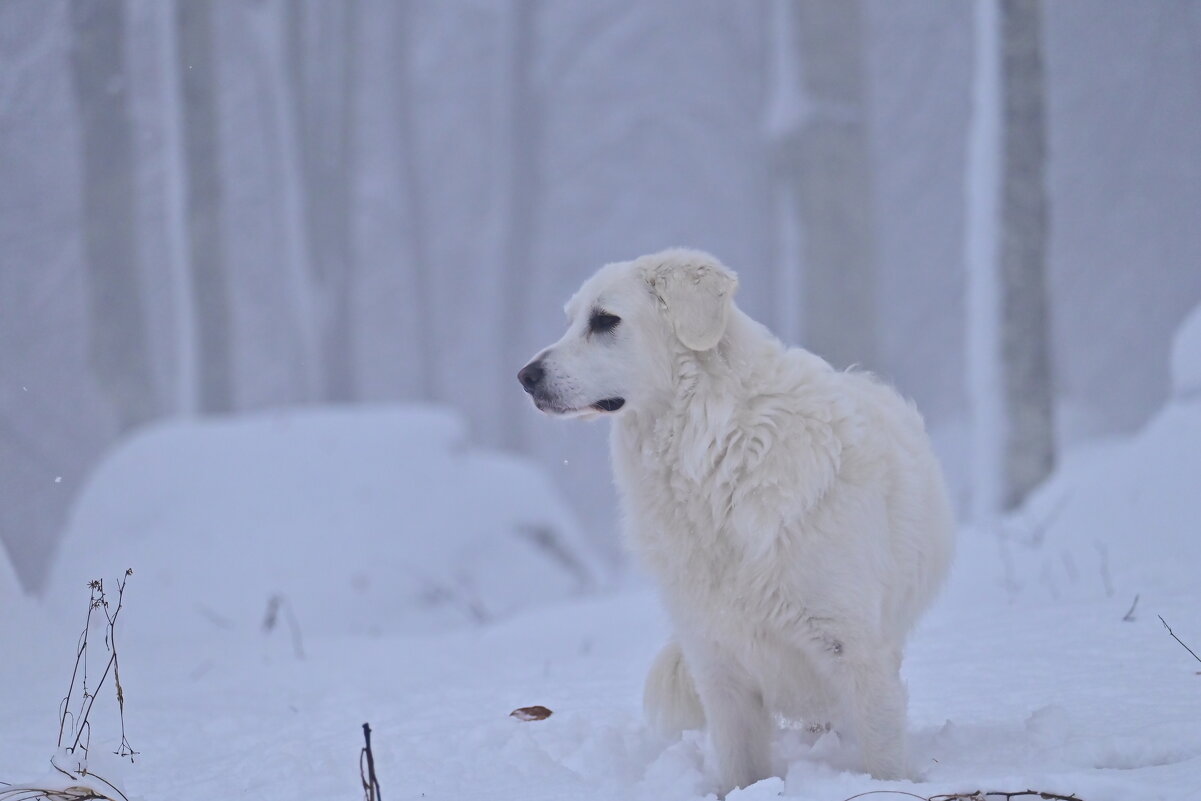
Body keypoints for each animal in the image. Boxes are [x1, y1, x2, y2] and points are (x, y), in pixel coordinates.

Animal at [518, 250, 955, 797]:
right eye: (571, 319)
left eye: (605, 320)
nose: (525, 376)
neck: (714, 451)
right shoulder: (717, 660)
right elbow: (740, 768)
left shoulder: (856, 649)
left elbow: (882, 754)